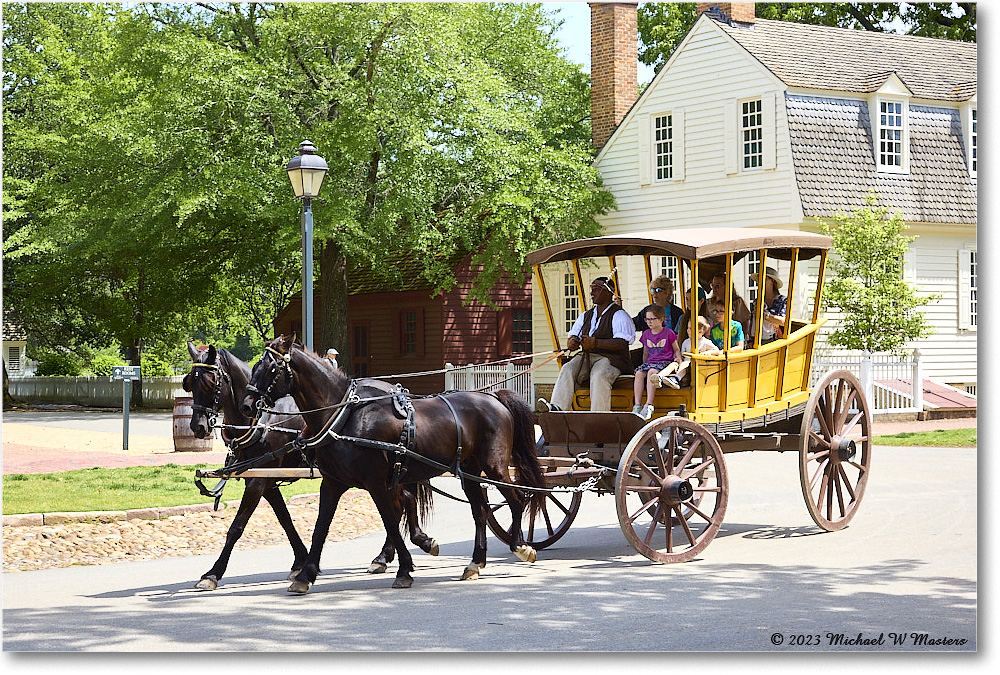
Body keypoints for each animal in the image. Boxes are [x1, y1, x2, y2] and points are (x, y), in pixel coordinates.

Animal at [186, 340, 436, 588]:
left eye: (209, 382)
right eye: (190, 382)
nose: (198, 426)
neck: (261, 421)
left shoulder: (259, 480)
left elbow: (237, 526)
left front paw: (213, 573)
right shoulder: (267, 480)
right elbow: (285, 519)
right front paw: (301, 562)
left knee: (401, 502)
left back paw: (396, 551)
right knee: (403, 501)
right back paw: (391, 553)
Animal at [240, 336, 548, 596]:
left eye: (271, 368)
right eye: (256, 365)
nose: (246, 405)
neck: (345, 416)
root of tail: (493, 397)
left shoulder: (376, 482)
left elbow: (390, 519)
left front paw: (403, 569)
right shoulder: (333, 482)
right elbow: (321, 527)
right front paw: (305, 575)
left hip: (494, 467)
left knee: (517, 499)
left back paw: (520, 546)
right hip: (469, 472)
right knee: (480, 511)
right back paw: (475, 562)